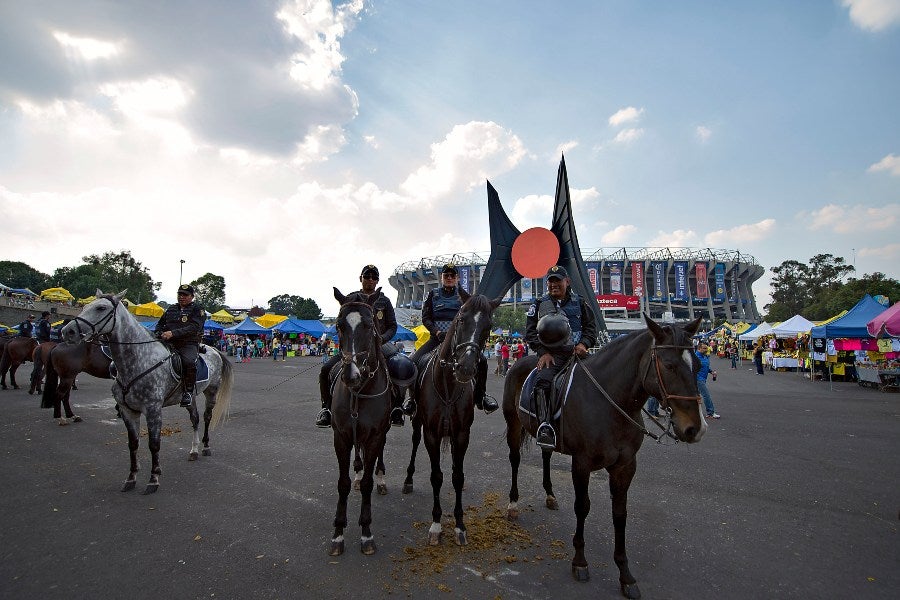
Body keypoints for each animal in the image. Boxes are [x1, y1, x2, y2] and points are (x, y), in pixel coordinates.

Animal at [62, 290, 234, 492]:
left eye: (101, 308)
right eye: (85, 306)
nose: (67, 331)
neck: (136, 362)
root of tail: (214, 350)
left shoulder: (153, 409)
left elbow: (154, 444)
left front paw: (153, 479)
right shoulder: (128, 411)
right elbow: (133, 444)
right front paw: (131, 478)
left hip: (211, 392)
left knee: (207, 417)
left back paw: (206, 447)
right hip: (189, 397)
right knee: (195, 419)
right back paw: (193, 450)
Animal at [400, 288, 500, 548]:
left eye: (488, 325)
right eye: (461, 319)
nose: (465, 367)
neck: (448, 385)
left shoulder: (461, 434)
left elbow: (457, 476)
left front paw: (459, 525)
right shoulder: (432, 433)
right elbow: (436, 476)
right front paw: (436, 525)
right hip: (417, 421)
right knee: (414, 443)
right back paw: (408, 480)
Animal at [502, 316, 708, 596]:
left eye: (697, 364)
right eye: (669, 365)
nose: (695, 428)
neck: (612, 403)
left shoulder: (626, 466)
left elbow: (620, 514)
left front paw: (625, 574)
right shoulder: (581, 463)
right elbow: (582, 506)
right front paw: (580, 561)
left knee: (546, 455)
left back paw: (550, 495)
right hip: (513, 423)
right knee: (514, 460)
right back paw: (513, 504)